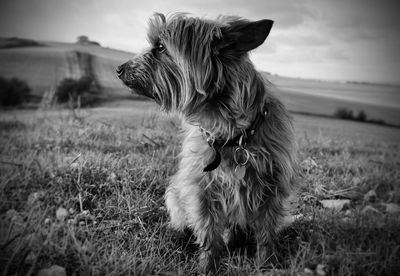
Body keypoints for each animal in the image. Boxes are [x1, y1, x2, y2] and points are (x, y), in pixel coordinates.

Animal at [116, 13, 296, 274]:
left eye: (160, 47)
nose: (118, 69)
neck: (232, 136)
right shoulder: (200, 189)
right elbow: (208, 232)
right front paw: (207, 266)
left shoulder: (272, 186)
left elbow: (266, 231)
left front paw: (268, 263)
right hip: (175, 194)